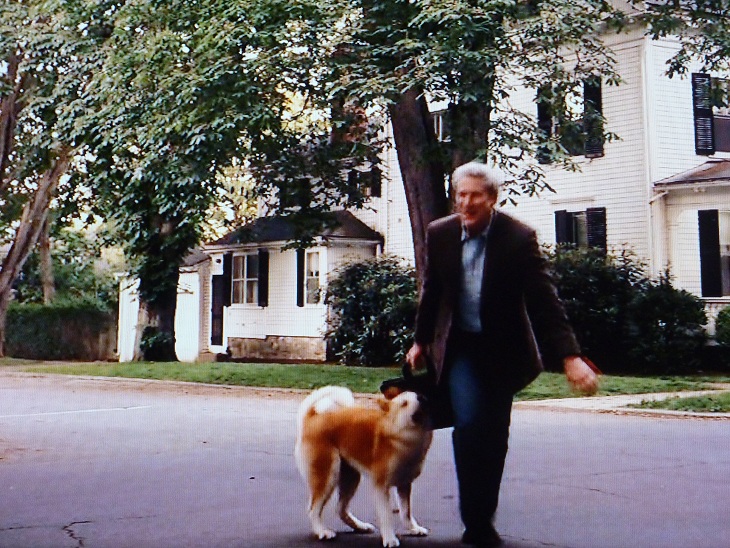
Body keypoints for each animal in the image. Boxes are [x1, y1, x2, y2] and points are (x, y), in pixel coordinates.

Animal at [294, 386, 433, 547]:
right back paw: (322, 531)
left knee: (340, 509)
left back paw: (360, 526)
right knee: (313, 510)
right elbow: (386, 516)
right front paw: (390, 539)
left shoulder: (404, 485)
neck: (400, 435)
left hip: (351, 478)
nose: (422, 397)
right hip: (327, 476)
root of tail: (313, 417)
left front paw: (413, 528)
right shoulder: (381, 487)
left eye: (417, 395)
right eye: (404, 403)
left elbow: (406, 513)